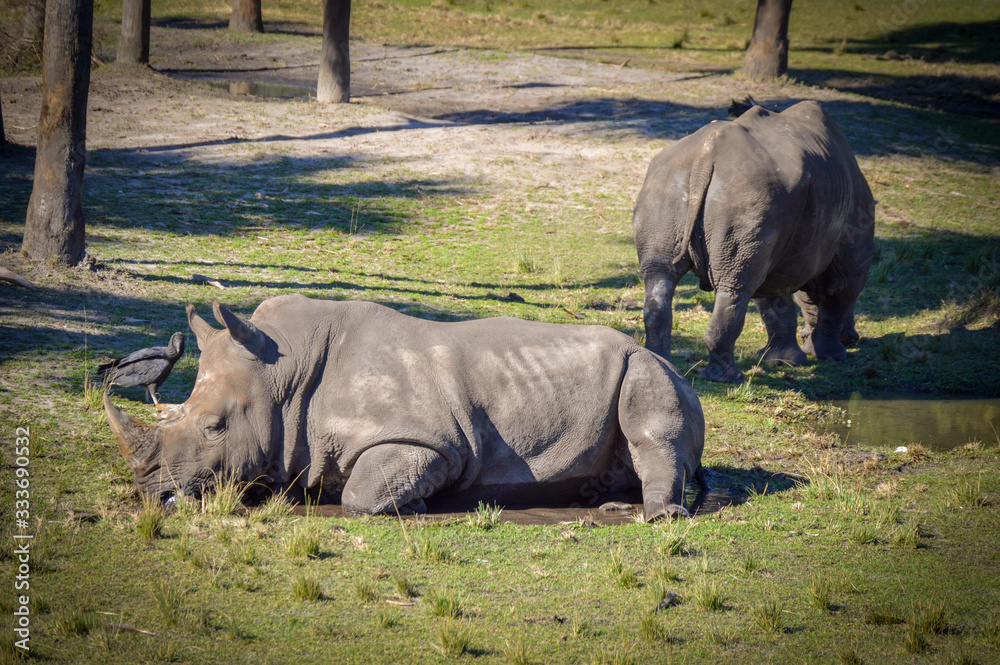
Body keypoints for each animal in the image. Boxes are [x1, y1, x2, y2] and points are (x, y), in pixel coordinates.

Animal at [104, 295, 706, 520]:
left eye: (215, 427)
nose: (149, 489)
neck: (283, 374)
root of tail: (673, 364)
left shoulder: (431, 440)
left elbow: (361, 495)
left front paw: (416, 503)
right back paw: (601, 494)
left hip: (648, 366)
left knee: (652, 423)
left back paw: (649, 515)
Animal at [632, 100, 876, 383]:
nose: (854, 338)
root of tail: (705, 157)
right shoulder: (854, 243)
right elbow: (839, 295)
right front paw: (830, 355)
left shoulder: (780, 247)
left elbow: (775, 302)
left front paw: (784, 360)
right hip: (744, 193)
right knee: (735, 287)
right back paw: (730, 378)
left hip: (667, 184)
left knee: (660, 275)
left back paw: (663, 364)